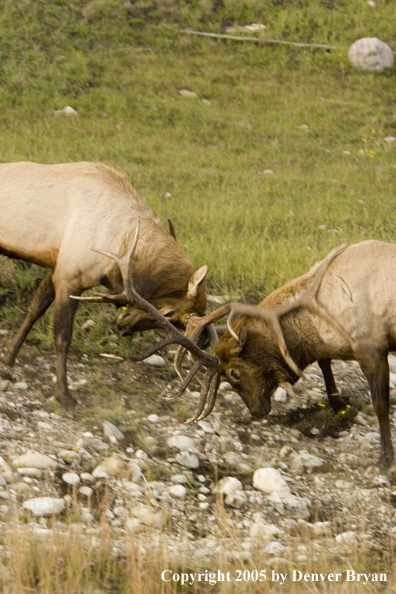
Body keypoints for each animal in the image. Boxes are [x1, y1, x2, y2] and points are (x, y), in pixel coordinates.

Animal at [0, 160, 217, 404]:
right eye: (170, 314)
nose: (122, 326)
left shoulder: (59, 267)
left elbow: (35, 309)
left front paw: (8, 357)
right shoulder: (70, 277)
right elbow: (62, 336)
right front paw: (63, 393)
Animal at [161, 240, 396, 462]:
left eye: (233, 372)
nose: (255, 411)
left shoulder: (372, 349)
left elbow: (381, 405)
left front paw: (386, 459)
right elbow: (325, 364)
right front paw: (340, 404)